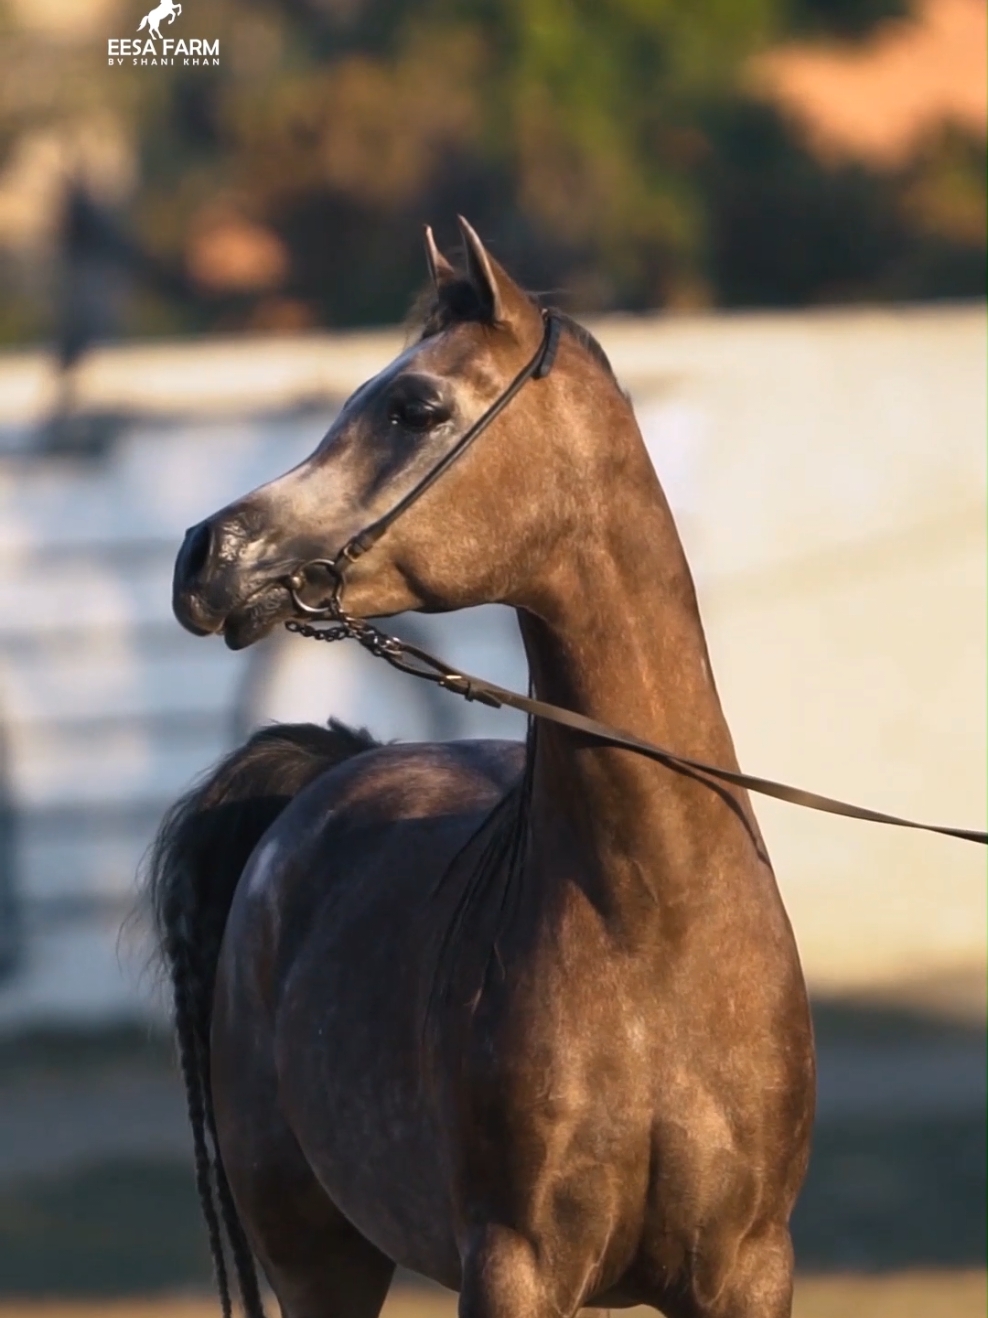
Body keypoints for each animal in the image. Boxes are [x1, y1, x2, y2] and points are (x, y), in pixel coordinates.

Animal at [154, 218, 816, 1318]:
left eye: (414, 405)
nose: (206, 556)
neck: (657, 925)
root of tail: (332, 772)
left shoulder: (745, 1271)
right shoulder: (514, 1266)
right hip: (318, 1262)